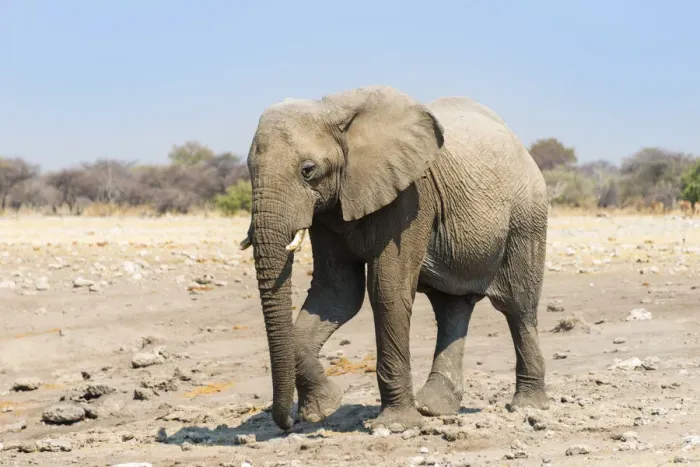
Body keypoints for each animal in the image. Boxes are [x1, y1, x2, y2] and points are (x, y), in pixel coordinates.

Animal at [240, 85, 550, 432]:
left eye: (308, 170)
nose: (288, 423)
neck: (334, 111)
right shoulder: (329, 210)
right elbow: (336, 295)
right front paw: (323, 409)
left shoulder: (412, 196)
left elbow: (386, 290)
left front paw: (396, 424)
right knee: (451, 307)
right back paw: (434, 408)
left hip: (527, 215)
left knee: (518, 306)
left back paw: (527, 406)